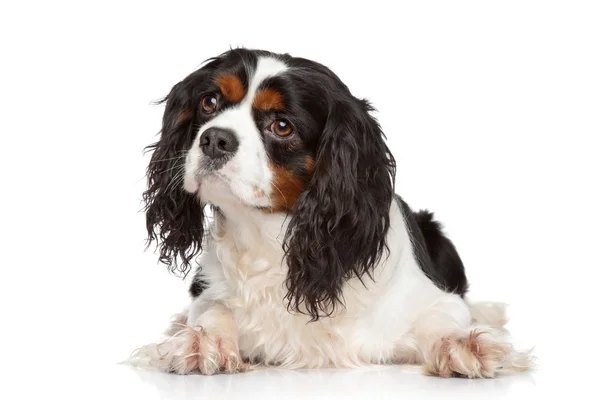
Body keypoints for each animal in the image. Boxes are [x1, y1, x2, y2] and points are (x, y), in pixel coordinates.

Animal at [129, 48, 532, 376]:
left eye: (282, 125)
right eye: (210, 102)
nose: (214, 138)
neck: (273, 240)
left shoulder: (432, 299)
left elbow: (444, 318)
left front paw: (463, 345)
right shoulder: (211, 291)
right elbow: (213, 310)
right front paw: (201, 340)